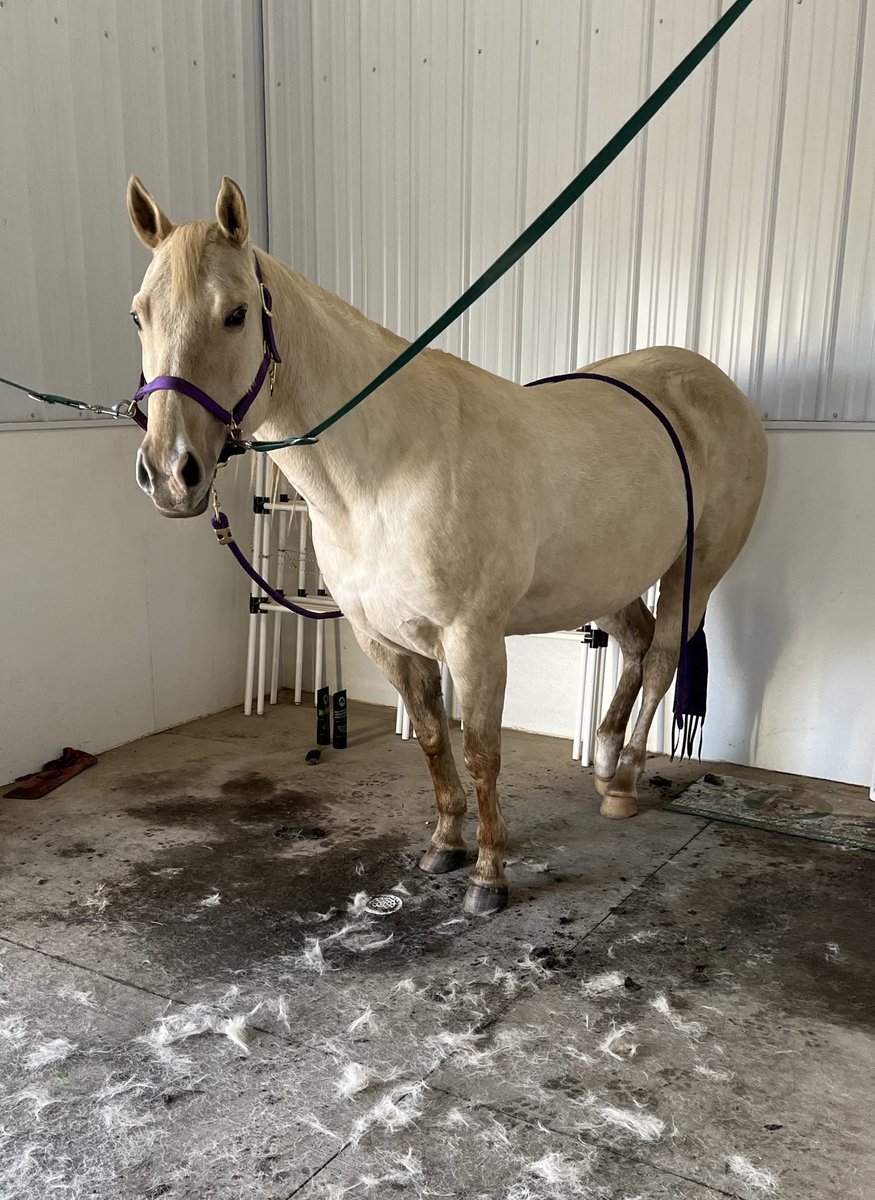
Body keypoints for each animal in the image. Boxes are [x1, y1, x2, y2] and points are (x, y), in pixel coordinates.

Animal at [127, 175, 768, 916]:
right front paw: (445, 844)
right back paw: (606, 762)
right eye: (139, 316)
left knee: (662, 657)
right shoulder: (385, 639)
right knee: (635, 646)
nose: (170, 473)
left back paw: (627, 780)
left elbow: (483, 751)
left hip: (697, 568)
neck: (388, 467)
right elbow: (434, 740)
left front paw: (489, 875)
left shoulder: (473, 639)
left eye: (234, 314)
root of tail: (711, 382)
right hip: (608, 578)